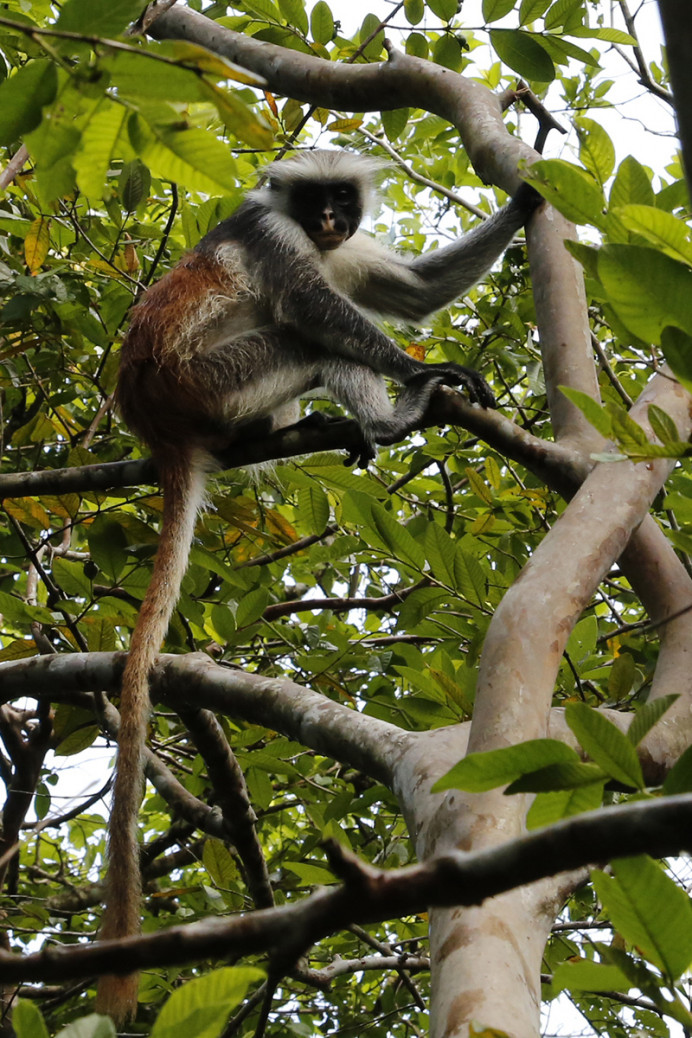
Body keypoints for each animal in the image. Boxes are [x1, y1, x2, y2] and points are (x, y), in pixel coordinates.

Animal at [95, 149, 540, 1023]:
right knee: (305, 332)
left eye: (342, 200)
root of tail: (153, 417)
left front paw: (528, 196)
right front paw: (421, 370)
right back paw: (395, 414)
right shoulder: (271, 235)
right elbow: (320, 308)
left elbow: (412, 292)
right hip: (212, 376)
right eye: (314, 203)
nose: (332, 222)